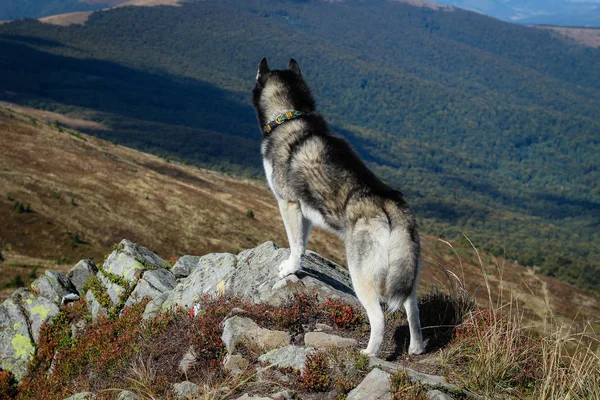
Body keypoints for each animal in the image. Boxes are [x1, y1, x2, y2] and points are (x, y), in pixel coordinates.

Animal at [253, 57, 426, 354]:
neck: (288, 115)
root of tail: (391, 207)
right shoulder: (306, 212)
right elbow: (303, 243)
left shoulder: (288, 203)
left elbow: (295, 244)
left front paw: (289, 268)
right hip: (406, 275)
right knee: (412, 309)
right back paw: (416, 348)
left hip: (361, 274)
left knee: (378, 317)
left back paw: (369, 353)